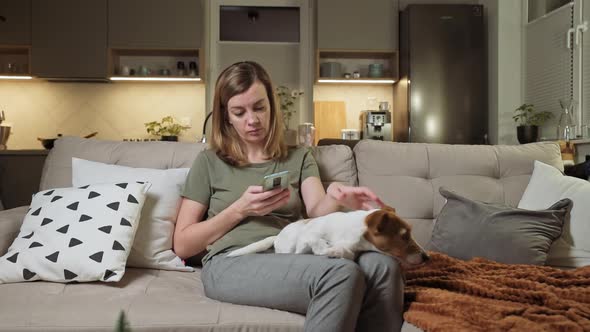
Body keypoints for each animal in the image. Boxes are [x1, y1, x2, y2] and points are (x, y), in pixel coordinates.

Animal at [227, 206, 430, 266]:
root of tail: (276, 237)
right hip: (289, 245)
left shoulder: (352, 249)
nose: (427, 257)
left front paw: (335, 251)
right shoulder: (307, 238)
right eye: (404, 236)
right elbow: (316, 242)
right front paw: (326, 248)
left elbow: (347, 253)